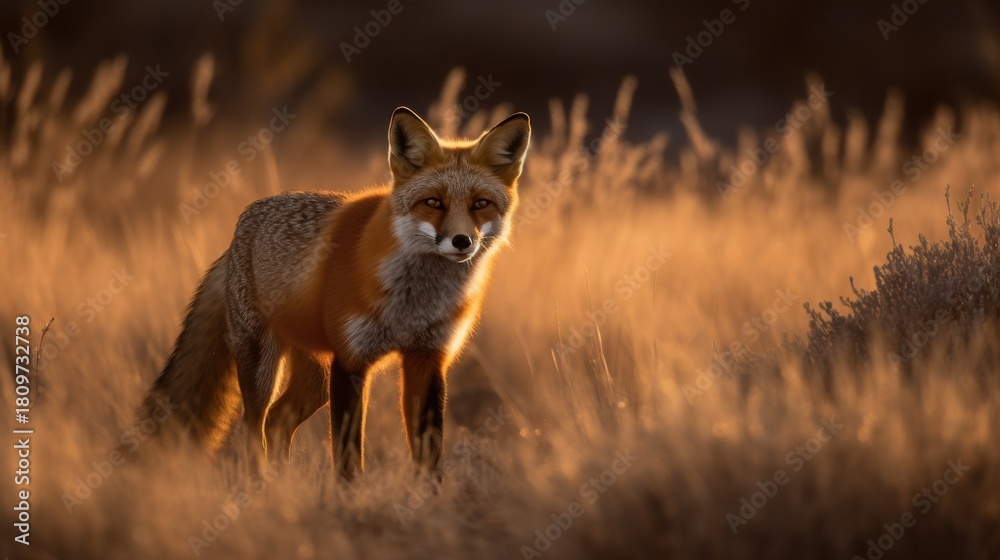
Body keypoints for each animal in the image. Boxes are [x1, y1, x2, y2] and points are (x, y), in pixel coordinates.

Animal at [137, 107, 530, 480]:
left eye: (480, 204)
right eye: (433, 203)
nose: (462, 241)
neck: (412, 304)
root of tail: (243, 223)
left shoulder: (428, 358)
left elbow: (428, 457)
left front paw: (429, 501)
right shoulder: (351, 360)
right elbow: (347, 459)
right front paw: (349, 500)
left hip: (316, 379)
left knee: (279, 420)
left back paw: (283, 487)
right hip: (262, 367)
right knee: (252, 432)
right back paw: (261, 486)